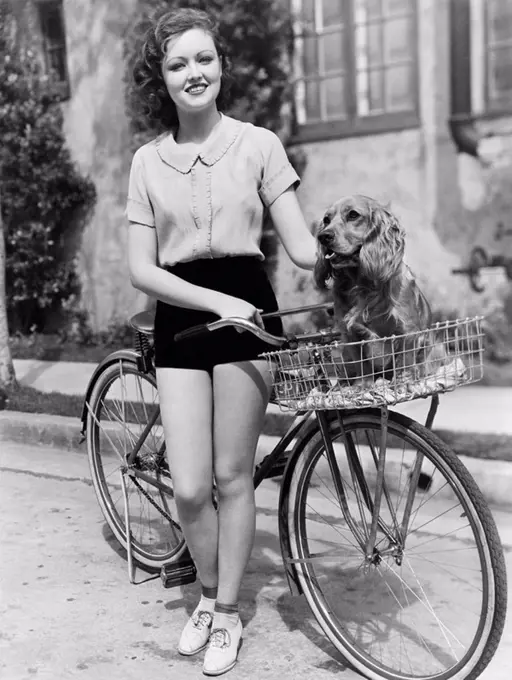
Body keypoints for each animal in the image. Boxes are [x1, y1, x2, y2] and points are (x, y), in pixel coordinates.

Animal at [314, 195, 434, 382]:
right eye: (326, 220)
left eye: (353, 215)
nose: (323, 236)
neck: (363, 284)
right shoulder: (350, 334)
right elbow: (362, 366)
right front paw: (363, 386)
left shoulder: (407, 330)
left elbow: (405, 362)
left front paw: (404, 381)